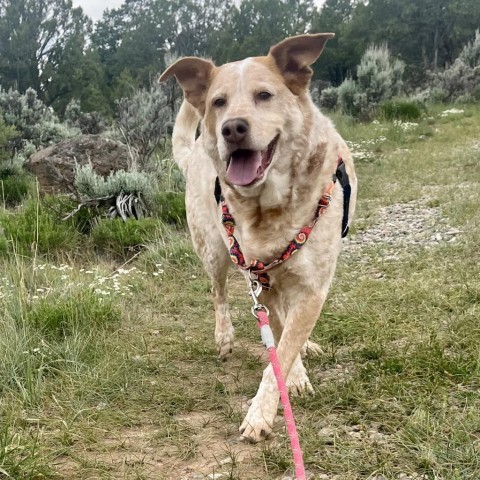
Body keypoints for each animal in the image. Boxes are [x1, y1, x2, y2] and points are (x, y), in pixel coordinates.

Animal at [160, 32, 356, 442]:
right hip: (213, 249)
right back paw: (225, 337)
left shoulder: (311, 288)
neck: (271, 209)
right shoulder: (260, 281)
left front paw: (265, 407)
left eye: (264, 95)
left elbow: (284, 344)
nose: (231, 129)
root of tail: (194, 154)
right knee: (218, 292)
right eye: (218, 102)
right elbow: (279, 345)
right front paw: (285, 387)